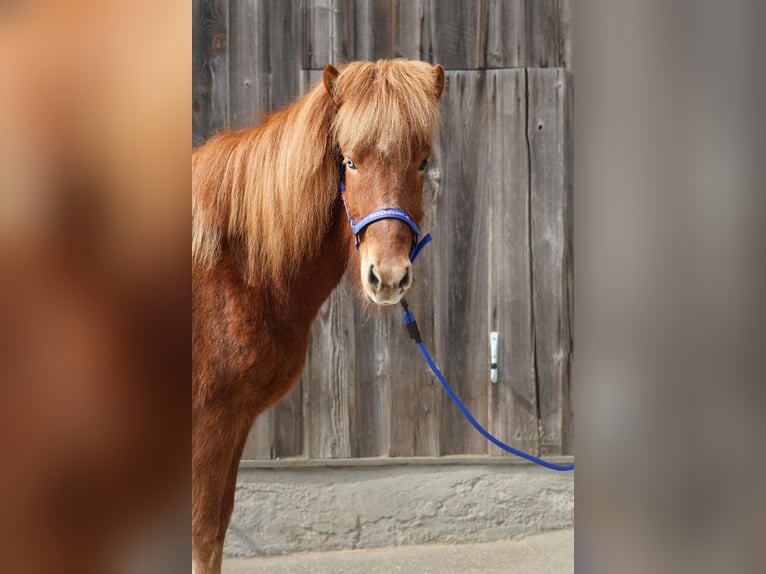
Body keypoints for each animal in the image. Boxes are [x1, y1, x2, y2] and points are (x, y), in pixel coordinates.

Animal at [191, 59, 445, 573]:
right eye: (349, 161)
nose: (388, 276)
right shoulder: (211, 420)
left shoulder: (234, 420)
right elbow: (204, 536)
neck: (232, 264)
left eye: (422, 162)